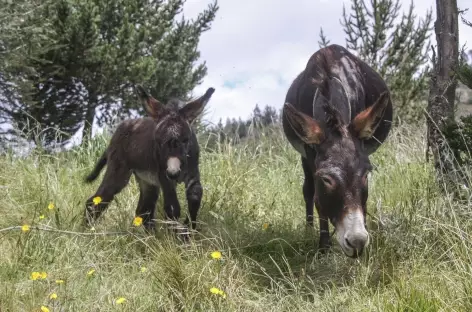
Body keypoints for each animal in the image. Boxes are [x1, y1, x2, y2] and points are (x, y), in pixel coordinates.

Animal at [83, 84, 216, 236]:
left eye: (186, 140)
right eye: (157, 141)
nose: (173, 172)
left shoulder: (192, 172)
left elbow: (195, 195)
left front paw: (189, 230)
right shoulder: (163, 176)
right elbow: (172, 207)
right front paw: (176, 237)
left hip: (148, 181)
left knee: (144, 210)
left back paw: (152, 237)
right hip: (119, 172)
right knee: (96, 200)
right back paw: (85, 232)